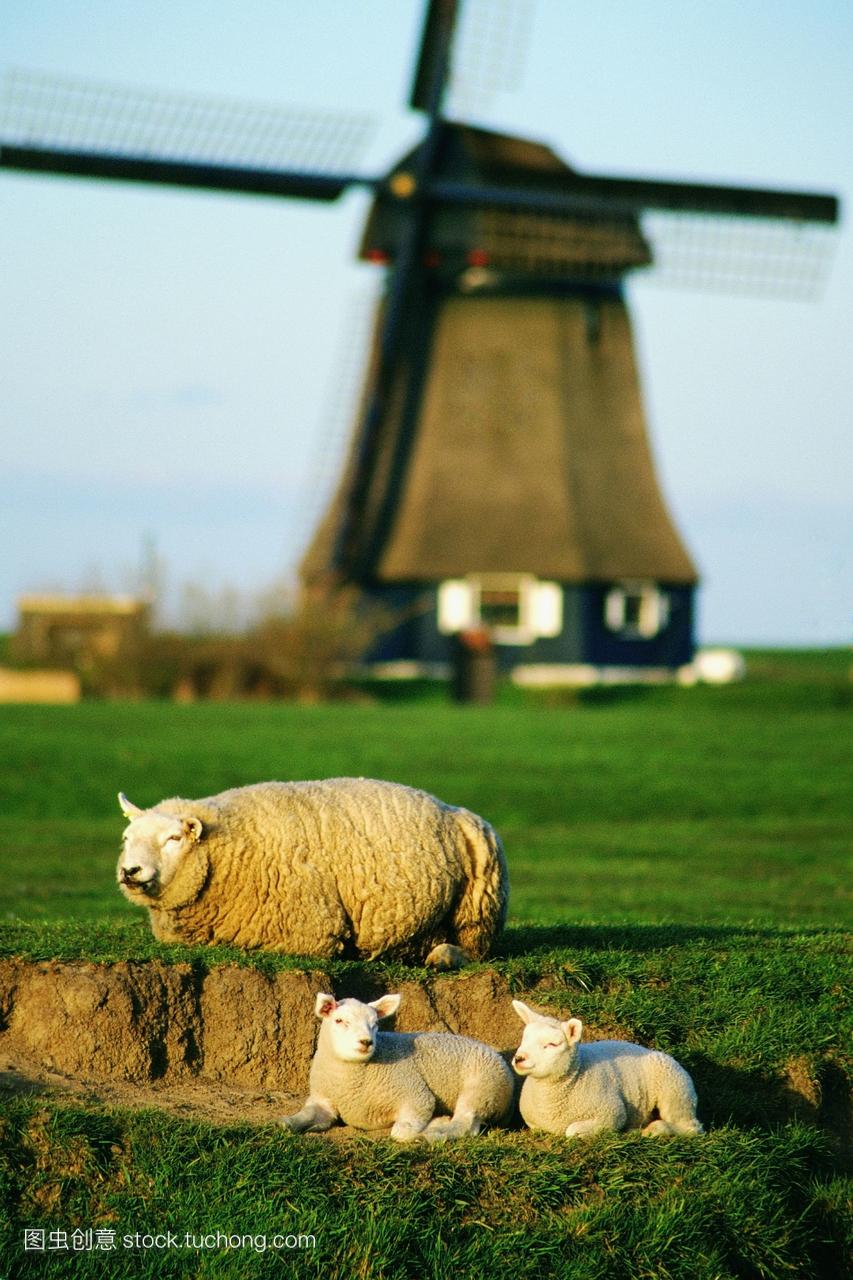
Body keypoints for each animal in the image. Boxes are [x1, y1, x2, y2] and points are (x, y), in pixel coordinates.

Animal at [117, 773, 507, 962]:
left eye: (173, 838)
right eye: (126, 837)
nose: (130, 871)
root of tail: (453, 811)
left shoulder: (309, 932)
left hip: (477, 913)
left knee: (474, 951)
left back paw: (443, 958)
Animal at [281, 988, 514, 1141]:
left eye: (375, 1024)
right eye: (339, 1021)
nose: (366, 1042)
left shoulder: (416, 1096)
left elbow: (400, 1132)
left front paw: (435, 1123)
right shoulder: (323, 1101)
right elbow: (299, 1118)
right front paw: (285, 1123)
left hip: (482, 1088)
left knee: (465, 1122)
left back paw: (436, 1133)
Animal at [507, 998, 701, 1141]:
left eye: (552, 1044)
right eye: (524, 1038)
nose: (519, 1059)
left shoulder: (611, 1114)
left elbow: (571, 1131)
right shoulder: (534, 1124)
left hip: (675, 1093)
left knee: (693, 1128)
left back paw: (654, 1130)